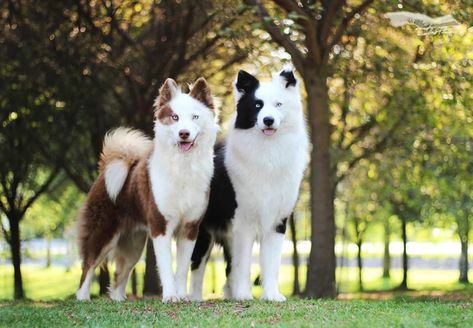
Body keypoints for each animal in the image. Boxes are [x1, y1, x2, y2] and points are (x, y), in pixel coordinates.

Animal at [76, 77, 219, 302]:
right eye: (175, 117)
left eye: (195, 116)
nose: (184, 133)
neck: (183, 165)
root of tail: (105, 167)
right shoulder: (160, 226)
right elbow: (167, 266)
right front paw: (170, 297)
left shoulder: (190, 228)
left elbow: (182, 268)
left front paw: (182, 296)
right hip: (102, 232)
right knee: (88, 266)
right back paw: (82, 298)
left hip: (133, 244)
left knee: (119, 276)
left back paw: (118, 300)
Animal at [190, 68, 308, 302]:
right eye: (257, 105)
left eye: (279, 104)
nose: (268, 120)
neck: (269, 152)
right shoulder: (243, 222)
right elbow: (243, 264)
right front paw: (244, 295)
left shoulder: (277, 222)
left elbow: (271, 264)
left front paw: (272, 295)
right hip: (203, 233)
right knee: (197, 266)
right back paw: (194, 298)